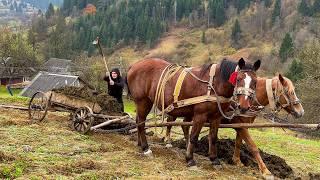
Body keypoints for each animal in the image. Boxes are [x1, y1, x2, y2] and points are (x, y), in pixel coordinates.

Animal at [126, 57, 262, 166]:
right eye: (238, 79)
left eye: (255, 82)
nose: (244, 106)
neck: (214, 84)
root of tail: (134, 65)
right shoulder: (200, 115)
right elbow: (194, 136)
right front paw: (190, 159)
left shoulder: (216, 117)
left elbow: (213, 137)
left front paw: (214, 159)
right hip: (143, 101)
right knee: (141, 122)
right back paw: (145, 147)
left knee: (138, 121)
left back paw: (140, 143)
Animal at [165, 73, 304, 176]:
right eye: (289, 92)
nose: (301, 112)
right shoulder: (240, 125)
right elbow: (252, 146)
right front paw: (265, 171)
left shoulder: (241, 125)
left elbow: (238, 143)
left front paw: (236, 161)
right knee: (170, 121)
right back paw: (168, 141)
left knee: (185, 125)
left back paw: (188, 144)